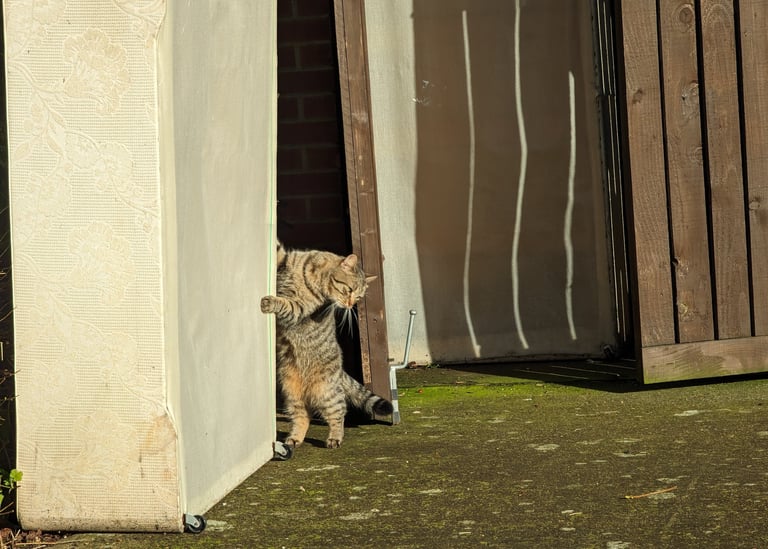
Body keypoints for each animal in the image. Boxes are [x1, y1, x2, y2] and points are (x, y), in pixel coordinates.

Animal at [260, 241, 393, 448]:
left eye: (358, 297)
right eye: (350, 290)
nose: (350, 305)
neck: (311, 274)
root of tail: (340, 371)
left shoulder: (300, 308)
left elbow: (287, 305)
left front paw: (271, 302)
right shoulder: (285, 260)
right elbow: (278, 250)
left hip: (326, 392)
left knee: (339, 411)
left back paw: (334, 438)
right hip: (292, 394)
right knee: (303, 416)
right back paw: (295, 438)